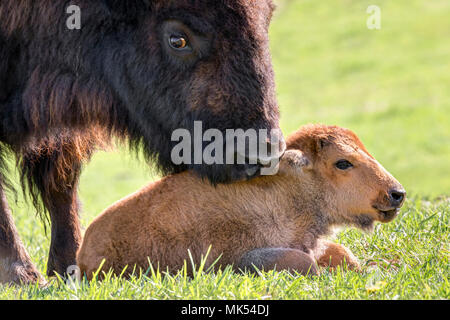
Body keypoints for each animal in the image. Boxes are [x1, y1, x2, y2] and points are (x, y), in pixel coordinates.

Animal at [0, 0, 284, 284]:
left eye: (268, 19)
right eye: (177, 40)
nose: (262, 152)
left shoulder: (63, 134)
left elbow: (62, 185)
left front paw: (69, 267)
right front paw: (23, 277)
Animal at [76, 124, 404, 278]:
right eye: (342, 163)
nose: (396, 193)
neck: (290, 192)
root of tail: (82, 253)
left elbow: (342, 252)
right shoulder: (244, 258)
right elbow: (306, 263)